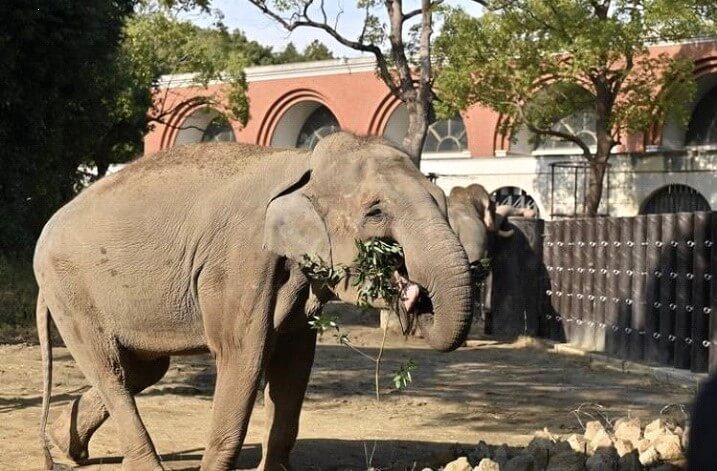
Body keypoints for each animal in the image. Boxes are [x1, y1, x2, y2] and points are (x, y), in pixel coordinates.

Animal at [33, 132, 472, 471]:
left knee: (142, 369)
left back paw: (64, 446)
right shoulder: (239, 260)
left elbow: (294, 364)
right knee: (112, 372)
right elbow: (243, 354)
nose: (414, 295)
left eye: (440, 199)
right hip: (70, 293)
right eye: (376, 212)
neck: (304, 163)